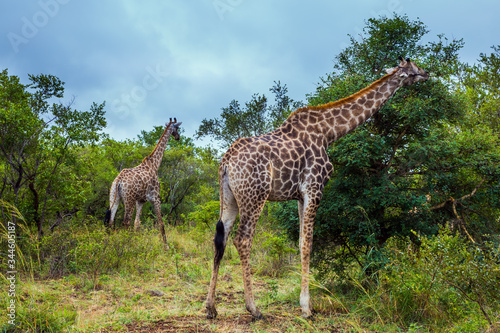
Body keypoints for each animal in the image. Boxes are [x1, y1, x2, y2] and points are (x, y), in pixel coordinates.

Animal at [104, 118, 183, 248]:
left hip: (114, 196)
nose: (177, 137)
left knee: (111, 220)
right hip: (129, 199)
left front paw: (138, 243)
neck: (154, 164)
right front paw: (166, 247)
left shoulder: (140, 200)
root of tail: (119, 180)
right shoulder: (155, 197)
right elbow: (161, 223)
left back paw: (110, 244)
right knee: (125, 222)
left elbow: (137, 223)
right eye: (176, 128)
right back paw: (125, 245)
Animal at [205, 57, 428, 320]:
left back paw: (210, 307)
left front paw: (305, 303)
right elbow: (308, 243)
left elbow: (302, 240)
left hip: (229, 198)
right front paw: (306, 308)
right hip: (255, 196)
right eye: (413, 68)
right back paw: (254, 308)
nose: (427, 73)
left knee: (220, 239)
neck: (330, 132)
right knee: (243, 239)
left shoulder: (300, 196)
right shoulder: (314, 188)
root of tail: (226, 162)